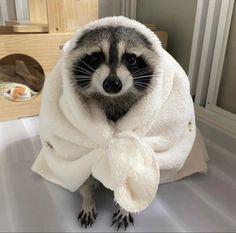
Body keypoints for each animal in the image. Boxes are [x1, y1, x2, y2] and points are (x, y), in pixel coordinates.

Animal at [65, 25, 159, 229]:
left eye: (131, 59)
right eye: (95, 57)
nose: (113, 84)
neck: (112, 98)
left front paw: (125, 207)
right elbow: (84, 175)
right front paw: (88, 198)